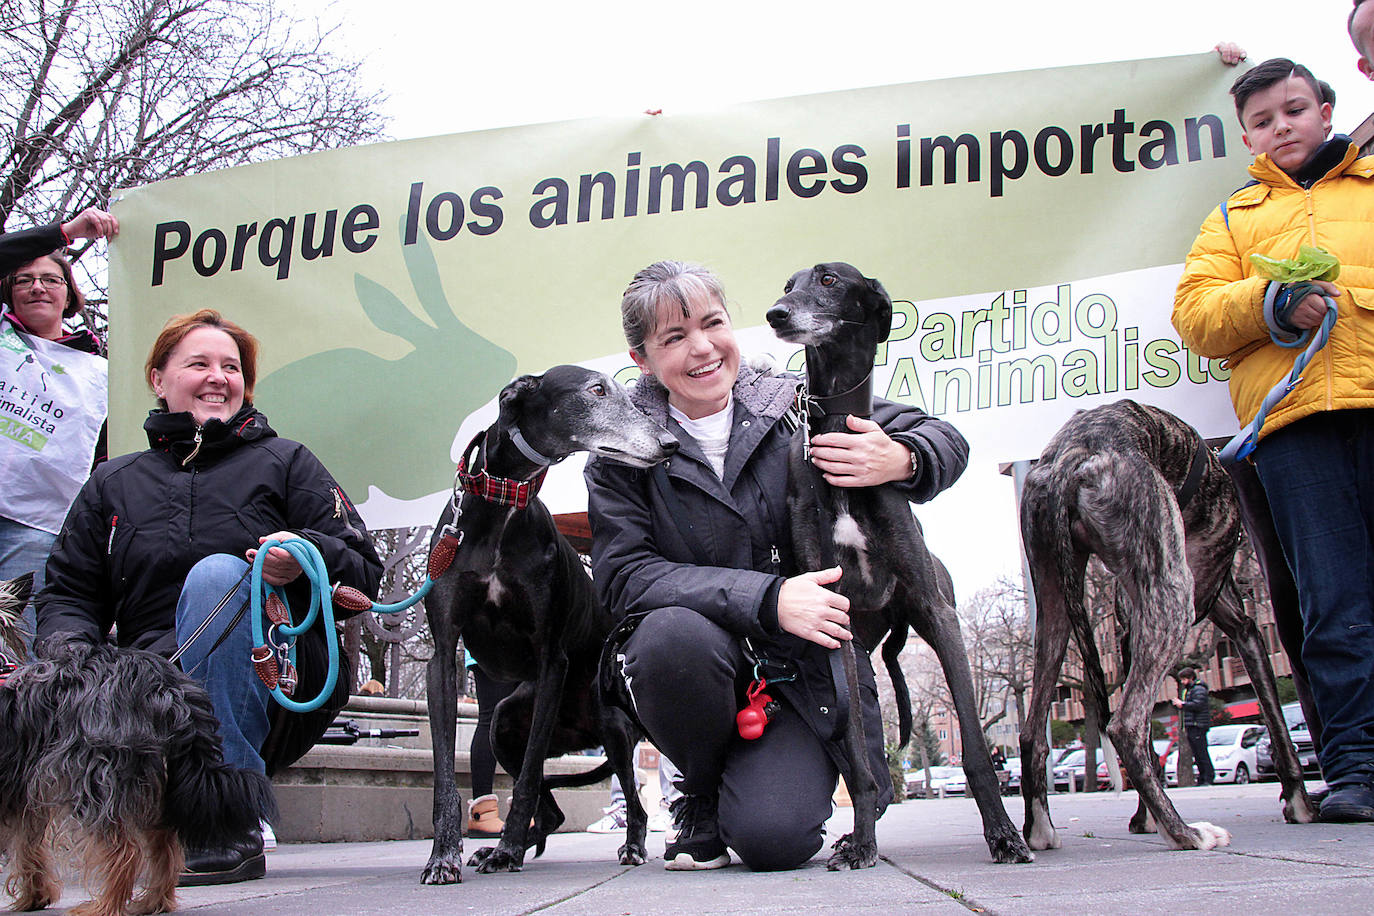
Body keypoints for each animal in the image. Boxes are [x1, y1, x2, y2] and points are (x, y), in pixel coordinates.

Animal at [0, 576, 278, 911]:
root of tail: (165, 688)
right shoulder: (21, 791)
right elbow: (27, 845)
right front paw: (34, 895)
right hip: (153, 781)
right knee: (164, 844)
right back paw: (152, 901)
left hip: (94, 776)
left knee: (123, 849)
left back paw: (104, 906)